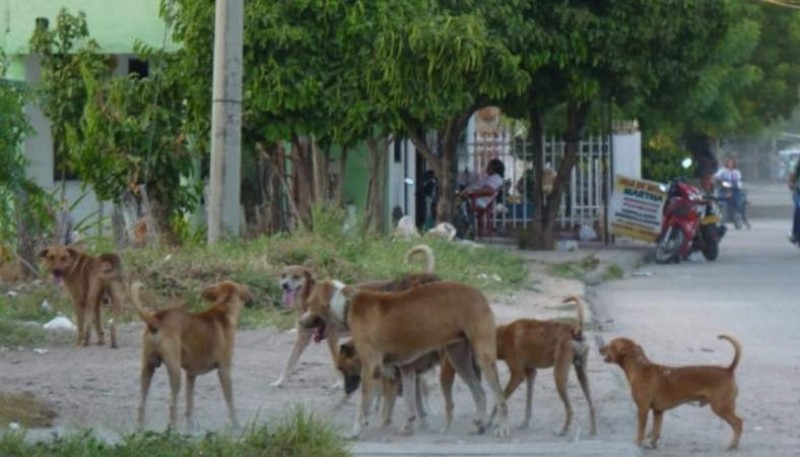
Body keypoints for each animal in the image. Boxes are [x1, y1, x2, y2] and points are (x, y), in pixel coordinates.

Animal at [132, 280, 250, 430]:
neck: (223, 308)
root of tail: (156, 318)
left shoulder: (191, 375)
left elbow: (190, 406)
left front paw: (191, 429)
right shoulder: (224, 371)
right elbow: (230, 403)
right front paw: (236, 426)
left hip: (147, 369)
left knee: (141, 405)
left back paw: (140, 430)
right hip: (174, 371)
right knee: (172, 405)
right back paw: (174, 432)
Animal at [296, 278, 510, 438]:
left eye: (311, 304)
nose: (300, 321)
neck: (348, 305)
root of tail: (479, 293)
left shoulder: (371, 368)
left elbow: (362, 407)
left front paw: (355, 432)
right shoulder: (406, 370)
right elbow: (409, 404)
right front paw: (408, 427)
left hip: (483, 358)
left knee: (499, 396)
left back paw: (501, 428)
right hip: (460, 358)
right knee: (479, 392)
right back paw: (480, 425)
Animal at [600, 334, 744, 448]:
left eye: (611, 345)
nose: (599, 348)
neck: (640, 367)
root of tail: (728, 370)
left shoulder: (643, 408)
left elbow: (641, 429)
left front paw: (638, 443)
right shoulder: (658, 411)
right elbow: (656, 430)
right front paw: (652, 444)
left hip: (720, 407)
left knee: (738, 423)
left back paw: (733, 444)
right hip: (726, 406)